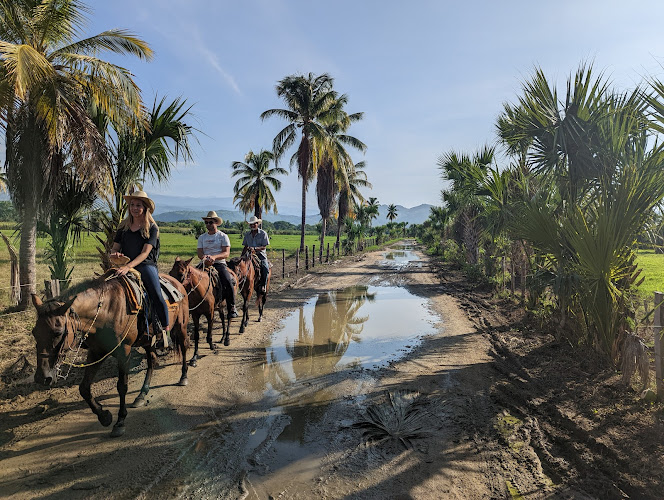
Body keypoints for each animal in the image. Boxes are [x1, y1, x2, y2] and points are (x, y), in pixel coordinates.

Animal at [33, 270, 189, 438]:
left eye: (58, 333)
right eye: (34, 332)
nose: (42, 377)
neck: (106, 311)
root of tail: (178, 283)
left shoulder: (124, 352)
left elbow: (122, 386)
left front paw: (120, 421)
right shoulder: (96, 352)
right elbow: (84, 388)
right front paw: (104, 416)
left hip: (181, 326)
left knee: (184, 348)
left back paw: (183, 377)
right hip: (147, 340)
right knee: (152, 361)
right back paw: (141, 395)